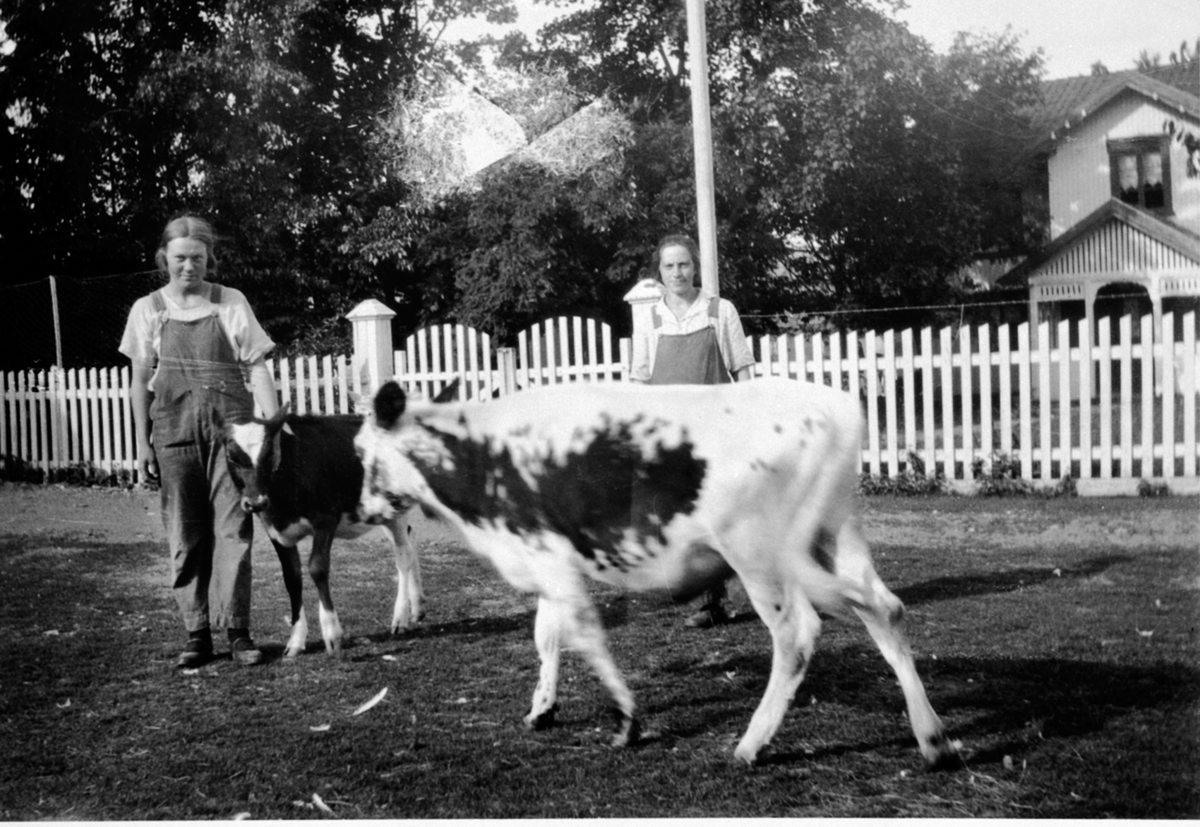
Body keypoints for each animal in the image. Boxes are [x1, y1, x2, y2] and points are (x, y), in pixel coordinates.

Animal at [213, 408, 424, 657]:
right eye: (231, 456)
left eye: (269, 453)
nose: (255, 502)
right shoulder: (276, 531)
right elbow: (292, 578)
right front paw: (296, 640)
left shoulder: (325, 520)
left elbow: (317, 568)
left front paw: (332, 634)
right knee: (410, 542)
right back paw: (417, 607)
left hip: (397, 503)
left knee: (403, 554)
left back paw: (400, 618)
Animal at [350, 376, 960, 763]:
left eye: (360, 451)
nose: (362, 507)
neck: (479, 456)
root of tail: (832, 405)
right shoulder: (547, 563)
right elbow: (546, 636)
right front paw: (543, 709)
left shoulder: (548, 558)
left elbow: (585, 636)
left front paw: (626, 720)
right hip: (839, 538)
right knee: (885, 610)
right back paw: (931, 739)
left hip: (759, 554)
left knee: (798, 633)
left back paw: (751, 745)